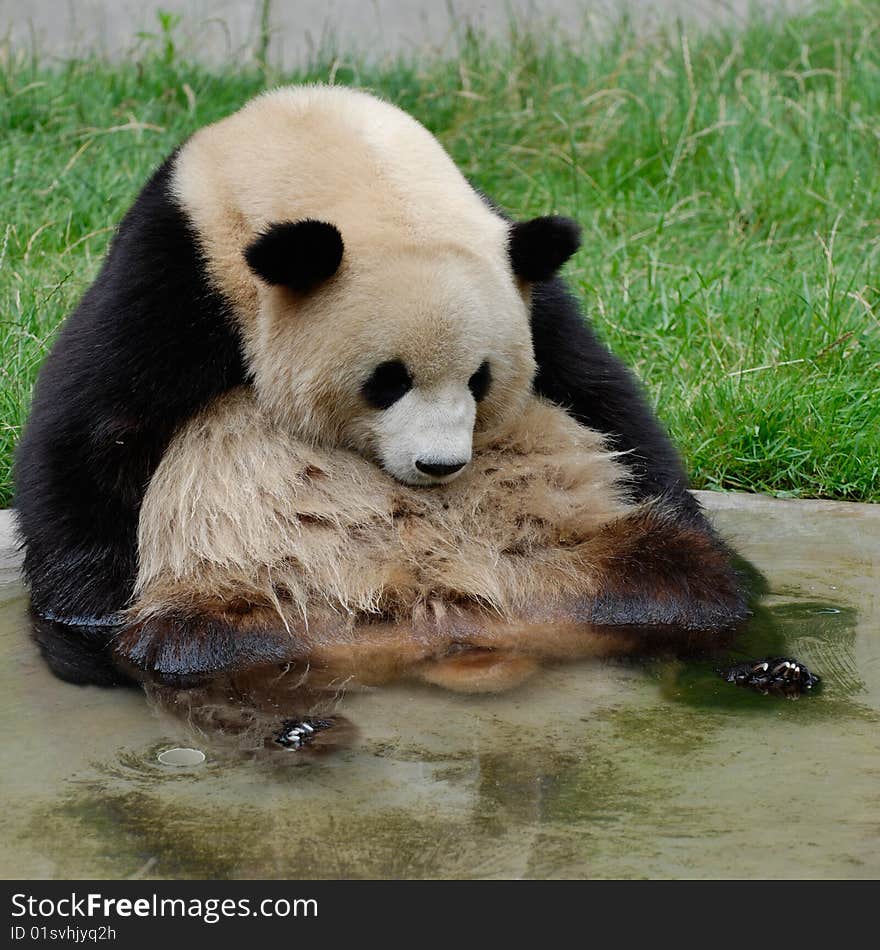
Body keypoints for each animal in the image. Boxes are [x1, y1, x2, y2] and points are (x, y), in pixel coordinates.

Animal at [13, 89, 744, 712]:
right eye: (387, 380)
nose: (440, 466)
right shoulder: (178, 269)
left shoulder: (522, 281)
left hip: (578, 564)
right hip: (262, 598)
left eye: (480, 379)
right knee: (205, 646)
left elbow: (599, 395)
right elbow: (93, 426)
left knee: (678, 577)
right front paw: (85, 618)